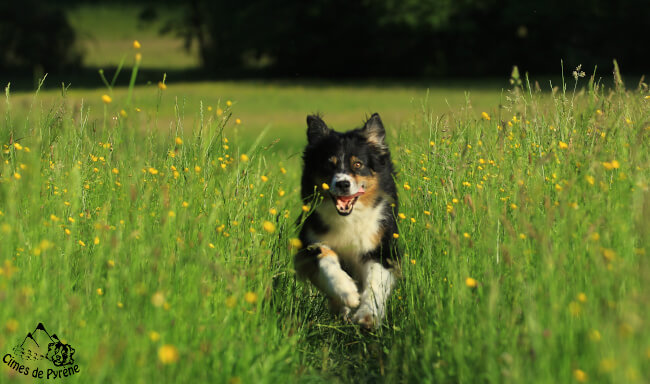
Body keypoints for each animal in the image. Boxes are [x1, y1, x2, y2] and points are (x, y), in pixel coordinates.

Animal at [294, 112, 398, 328]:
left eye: (358, 164)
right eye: (329, 164)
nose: (343, 184)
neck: (350, 218)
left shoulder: (381, 247)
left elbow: (375, 282)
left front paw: (368, 315)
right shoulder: (306, 244)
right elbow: (324, 255)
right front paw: (346, 291)